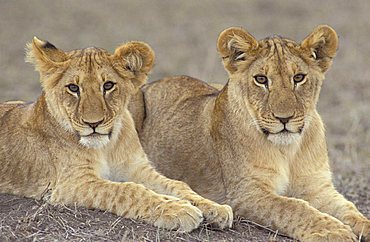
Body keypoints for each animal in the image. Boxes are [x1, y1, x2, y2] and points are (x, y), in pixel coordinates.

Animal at [0, 36, 233, 232]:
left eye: (108, 85)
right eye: (73, 88)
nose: (93, 123)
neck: (106, 147)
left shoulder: (137, 168)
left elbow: (177, 185)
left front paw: (215, 208)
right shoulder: (71, 184)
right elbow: (128, 190)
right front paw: (179, 210)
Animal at [132, 25, 368, 241]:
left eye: (299, 78)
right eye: (261, 79)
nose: (284, 118)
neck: (288, 150)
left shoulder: (318, 188)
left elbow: (350, 209)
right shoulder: (247, 193)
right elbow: (293, 208)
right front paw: (334, 231)